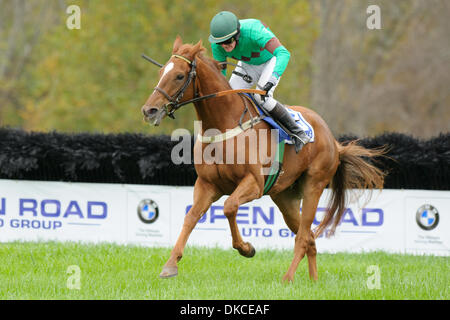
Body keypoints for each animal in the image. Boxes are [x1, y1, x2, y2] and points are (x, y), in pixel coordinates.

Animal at [140, 37, 384, 282]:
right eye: (161, 71)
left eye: (179, 76)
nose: (149, 110)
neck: (223, 124)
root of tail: (333, 140)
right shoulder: (207, 184)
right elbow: (191, 217)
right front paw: (170, 265)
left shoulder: (254, 183)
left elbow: (229, 207)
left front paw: (246, 248)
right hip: (285, 197)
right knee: (309, 238)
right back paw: (313, 281)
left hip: (313, 186)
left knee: (303, 236)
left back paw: (288, 278)